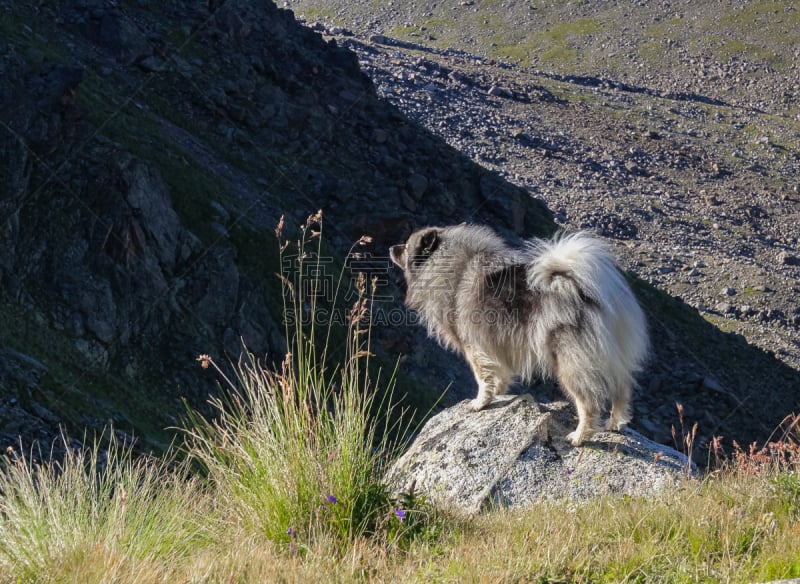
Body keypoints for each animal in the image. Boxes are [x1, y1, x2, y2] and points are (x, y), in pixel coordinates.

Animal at [390, 226, 648, 444]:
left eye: (406, 246)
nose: (391, 248)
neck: (447, 265)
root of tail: (584, 291)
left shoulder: (475, 347)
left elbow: (483, 378)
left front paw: (479, 404)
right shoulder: (495, 348)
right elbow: (500, 376)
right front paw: (498, 395)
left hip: (570, 361)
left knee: (589, 402)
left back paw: (579, 437)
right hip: (612, 357)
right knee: (622, 390)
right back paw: (615, 424)